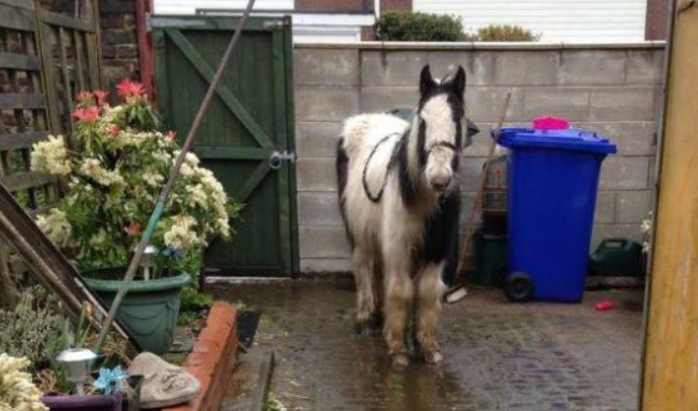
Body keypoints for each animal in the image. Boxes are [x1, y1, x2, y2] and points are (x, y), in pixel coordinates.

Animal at [336, 66, 464, 368]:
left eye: (457, 118)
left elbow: (426, 293)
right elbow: (401, 290)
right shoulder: (399, 249)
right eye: (423, 120)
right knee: (364, 268)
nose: (439, 179)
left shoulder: (435, 252)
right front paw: (397, 348)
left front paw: (427, 347)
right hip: (360, 236)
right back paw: (365, 320)